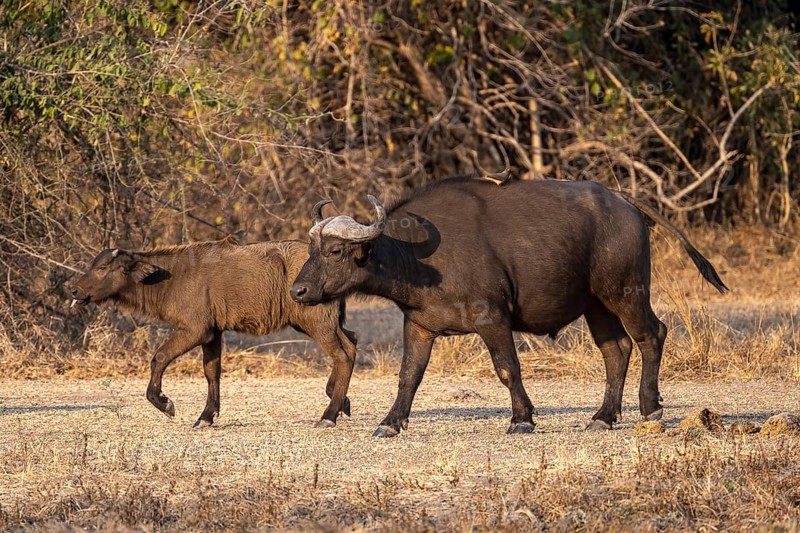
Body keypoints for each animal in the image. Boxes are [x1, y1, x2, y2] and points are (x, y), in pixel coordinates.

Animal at [70, 235, 357, 428]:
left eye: (102, 268)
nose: (74, 290)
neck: (172, 277)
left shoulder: (194, 331)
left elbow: (159, 357)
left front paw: (165, 403)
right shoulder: (212, 334)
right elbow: (211, 373)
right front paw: (206, 416)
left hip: (317, 323)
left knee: (342, 356)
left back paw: (329, 415)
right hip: (327, 323)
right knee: (352, 344)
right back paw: (341, 401)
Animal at [291, 177, 727, 436]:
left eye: (334, 251)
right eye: (310, 249)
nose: (298, 290)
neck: (416, 256)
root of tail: (625, 202)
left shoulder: (492, 318)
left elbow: (507, 368)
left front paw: (522, 418)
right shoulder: (419, 326)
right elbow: (408, 377)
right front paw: (390, 422)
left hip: (626, 292)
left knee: (652, 335)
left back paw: (650, 407)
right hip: (597, 305)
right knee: (616, 351)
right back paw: (604, 417)